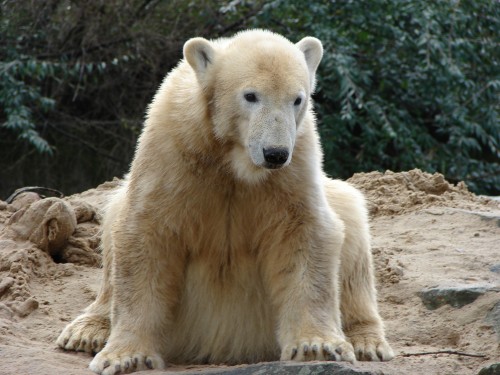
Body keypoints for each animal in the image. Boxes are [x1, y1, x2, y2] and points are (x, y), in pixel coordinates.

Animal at [56, 28, 392, 374]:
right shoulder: (172, 150)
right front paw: (125, 356)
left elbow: (306, 234)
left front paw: (317, 346)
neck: (232, 157)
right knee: (114, 224)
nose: (275, 153)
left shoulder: (296, 163)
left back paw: (368, 342)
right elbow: (145, 233)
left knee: (352, 226)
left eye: (298, 99)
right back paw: (86, 331)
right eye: (250, 95)